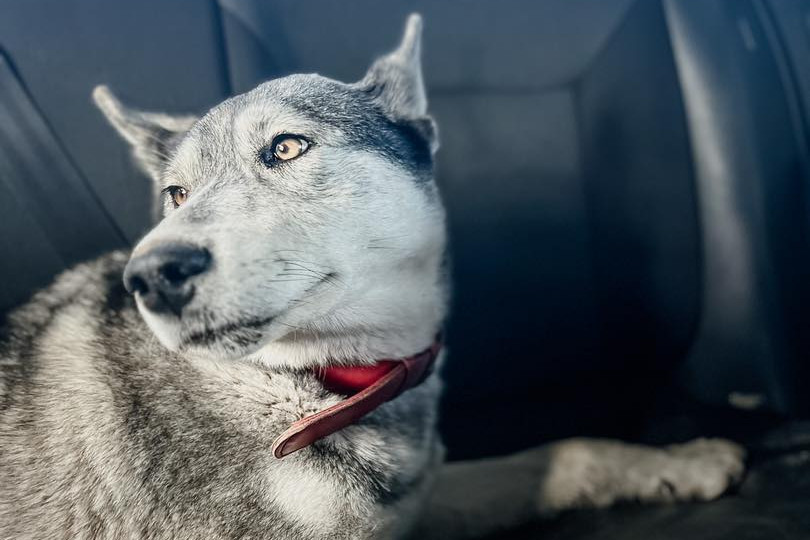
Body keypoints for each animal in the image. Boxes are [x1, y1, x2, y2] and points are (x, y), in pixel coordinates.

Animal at [1, 13, 744, 540]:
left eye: (287, 147)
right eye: (176, 196)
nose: (151, 275)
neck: (329, 381)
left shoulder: (418, 501)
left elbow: (560, 452)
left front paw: (677, 462)